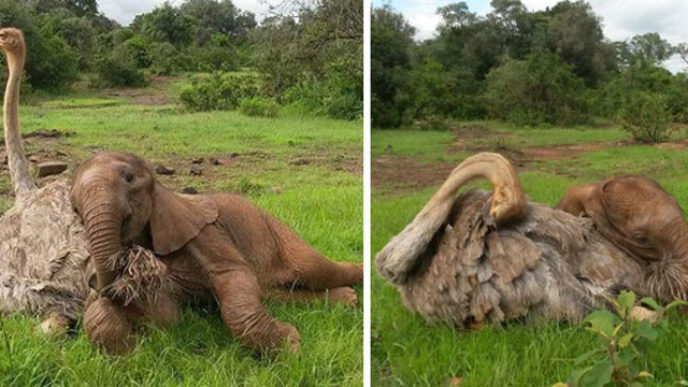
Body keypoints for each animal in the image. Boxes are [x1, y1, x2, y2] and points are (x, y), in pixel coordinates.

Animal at [71, 152, 366, 354]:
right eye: (74, 207)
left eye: (129, 177)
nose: (94, 282)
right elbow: (166, 316)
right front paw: (131, 352)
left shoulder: (206, 234)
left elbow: (234, 278)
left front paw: (291, 346)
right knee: (271, 292)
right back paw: (347, 298)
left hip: (278, 233)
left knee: (315, 269)